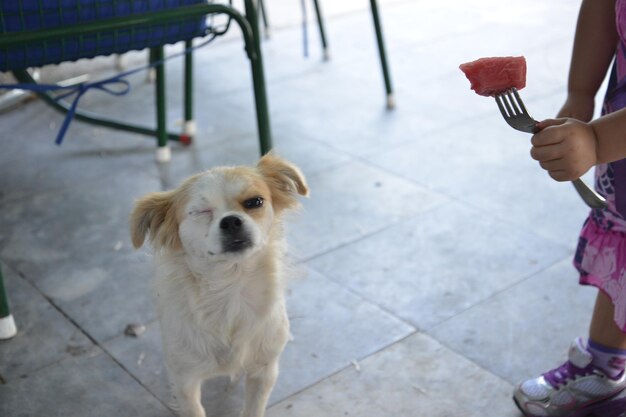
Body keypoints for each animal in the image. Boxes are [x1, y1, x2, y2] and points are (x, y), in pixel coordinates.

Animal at [130, 153, 308, 416]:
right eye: (200, 211)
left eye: (255, 202)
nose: (232, 221)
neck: (229, 288)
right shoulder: (184, 381)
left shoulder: (264, 371)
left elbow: (254, 409)